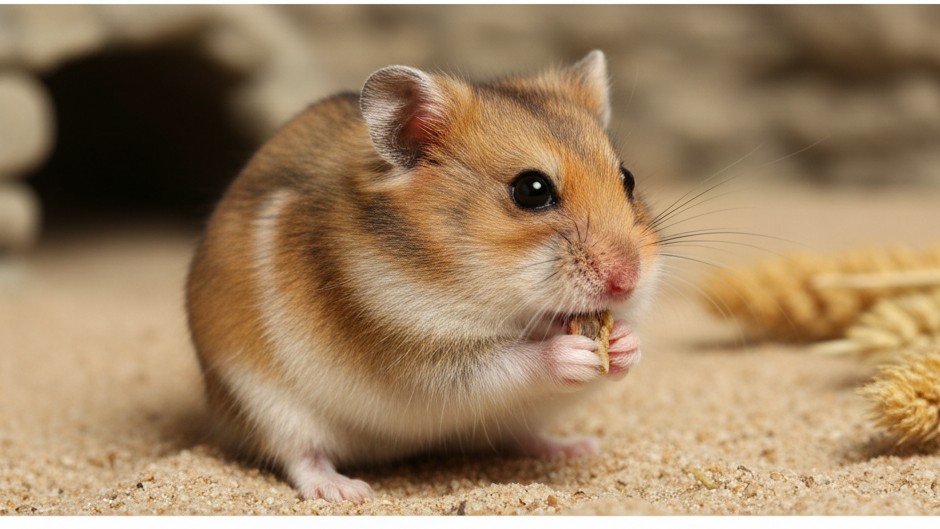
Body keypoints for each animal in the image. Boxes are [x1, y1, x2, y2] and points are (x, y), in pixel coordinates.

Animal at [185, 50, 661, 502]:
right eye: (531, 190)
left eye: (628, 178)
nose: (627, 280)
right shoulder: (418, 357)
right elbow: (508, 363)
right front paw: (573, 353)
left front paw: (624, 345)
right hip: (265, 404)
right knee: (300, 456)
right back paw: (345, 491)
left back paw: (574, 447)